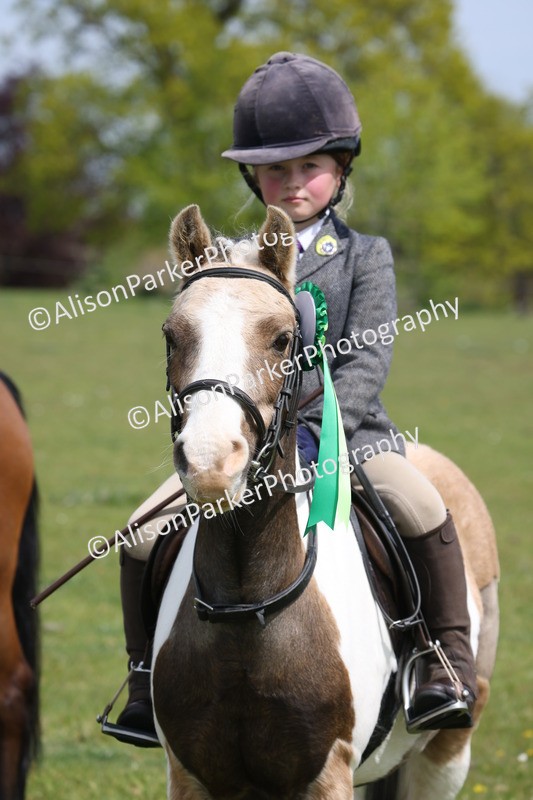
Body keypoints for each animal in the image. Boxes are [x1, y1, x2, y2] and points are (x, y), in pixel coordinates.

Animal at [152, 205, 499, 799]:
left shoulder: (326, 773)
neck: (249, 608)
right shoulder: (192, 775)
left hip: (446, 753)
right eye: (173, 336)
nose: (211, 462)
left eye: (282, 339)